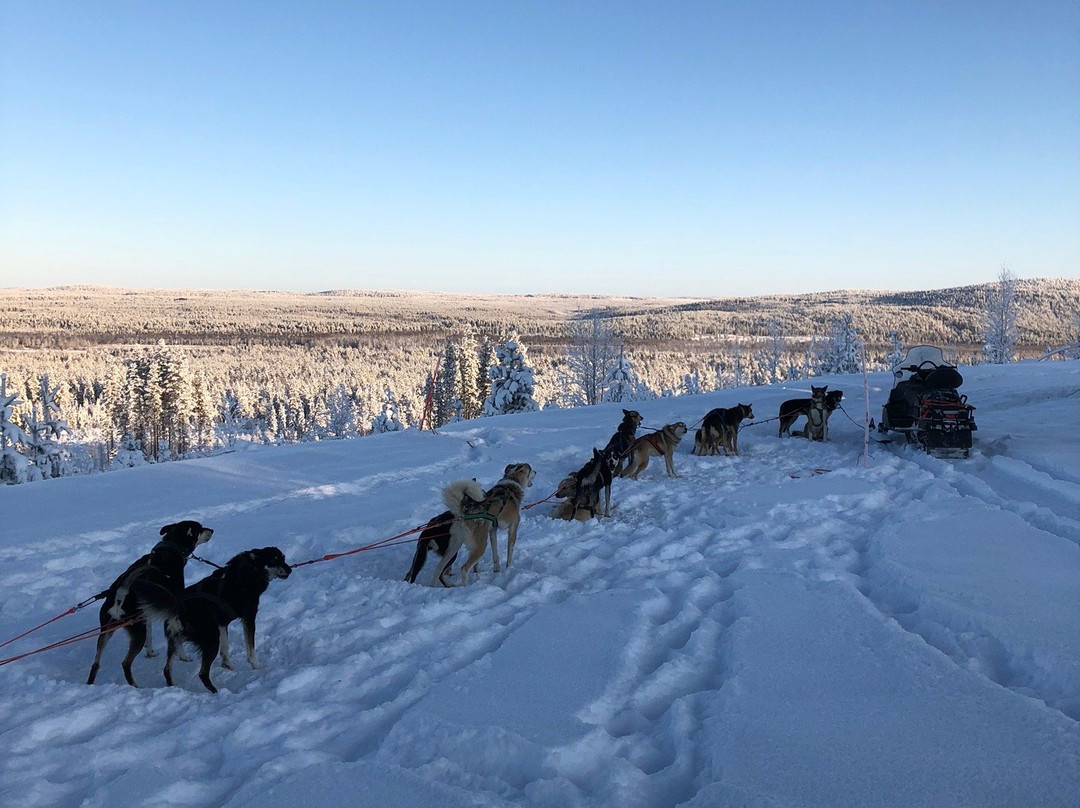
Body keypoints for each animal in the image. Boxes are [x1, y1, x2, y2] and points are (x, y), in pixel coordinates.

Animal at [86, 520, 212, 687]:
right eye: (201, 528)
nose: (212, 530)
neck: (170, 548)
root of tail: (121, 593)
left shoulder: (148, 612)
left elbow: (150, 635)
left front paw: (150, 652)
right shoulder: (173, 609)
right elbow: (177, 642)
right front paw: (183, 657)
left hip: (107, 632)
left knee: (95, 664)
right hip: (137, 633)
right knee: (125, 663)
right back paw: (135, 686)